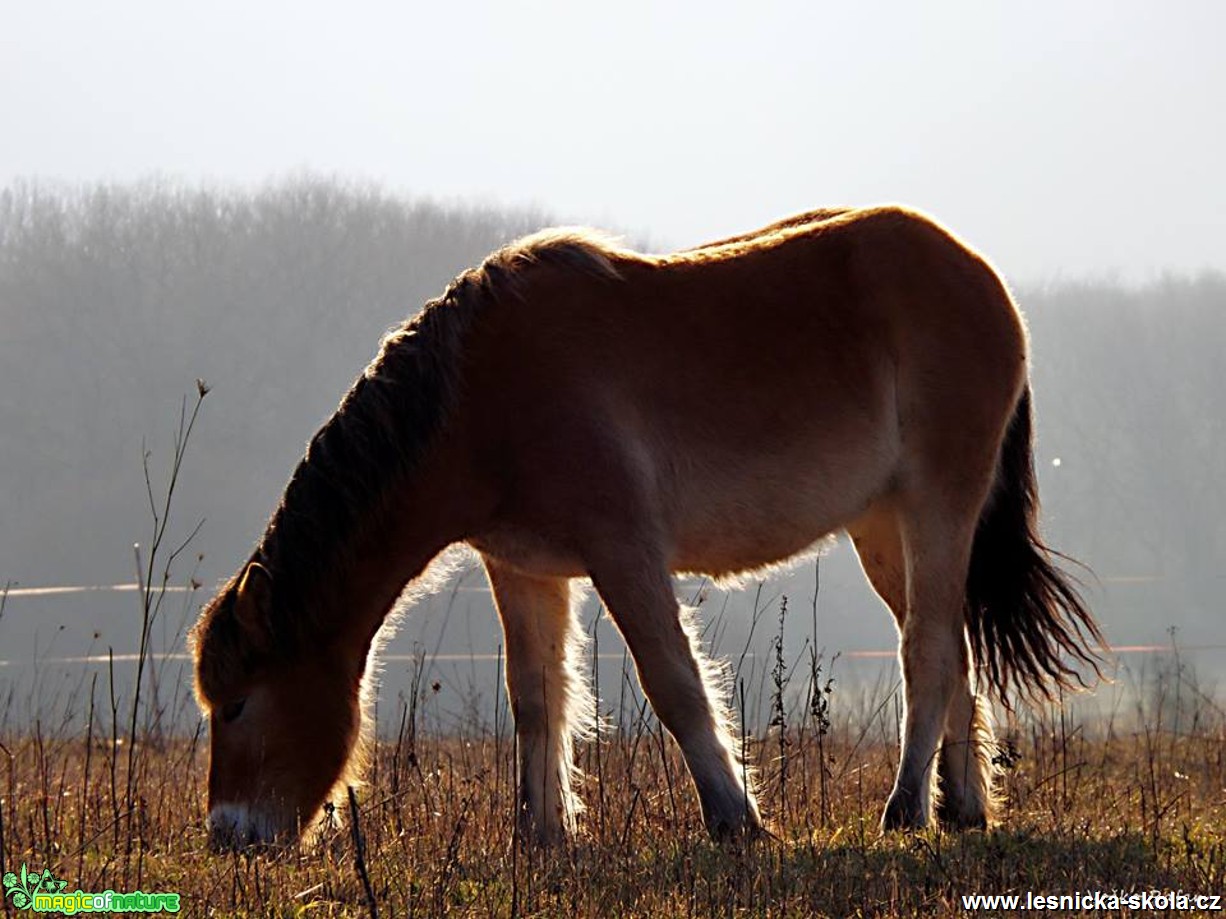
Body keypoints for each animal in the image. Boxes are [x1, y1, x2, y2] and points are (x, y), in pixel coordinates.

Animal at [191, 207, 1103, 847]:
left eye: (236, 704)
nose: (229, 836)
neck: (481, 393)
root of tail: (982, 277)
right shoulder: (525, 568)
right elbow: (539, 697)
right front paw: (541, 834)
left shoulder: (623, 552)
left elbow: (674, 683)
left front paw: (735, 818)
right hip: (884, 527)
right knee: (950, 645)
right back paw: (963, 807)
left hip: (936, 503)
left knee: (928, 651)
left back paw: (907, 809)